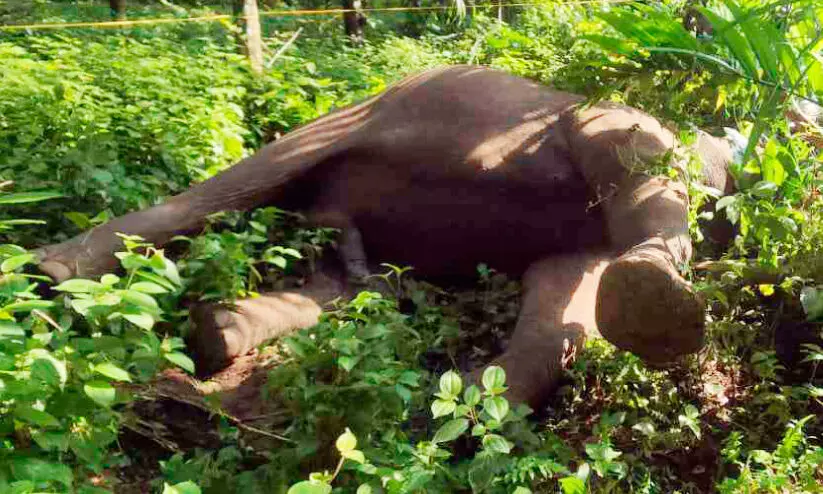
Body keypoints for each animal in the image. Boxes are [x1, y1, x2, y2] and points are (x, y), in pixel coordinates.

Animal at [36, 65, 736, 407]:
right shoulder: (602, 126)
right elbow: (629, 150)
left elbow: (568, 293)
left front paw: (476, 403)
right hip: (344, 121)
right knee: (227, 189)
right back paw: (52, 277)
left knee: (337, 286)